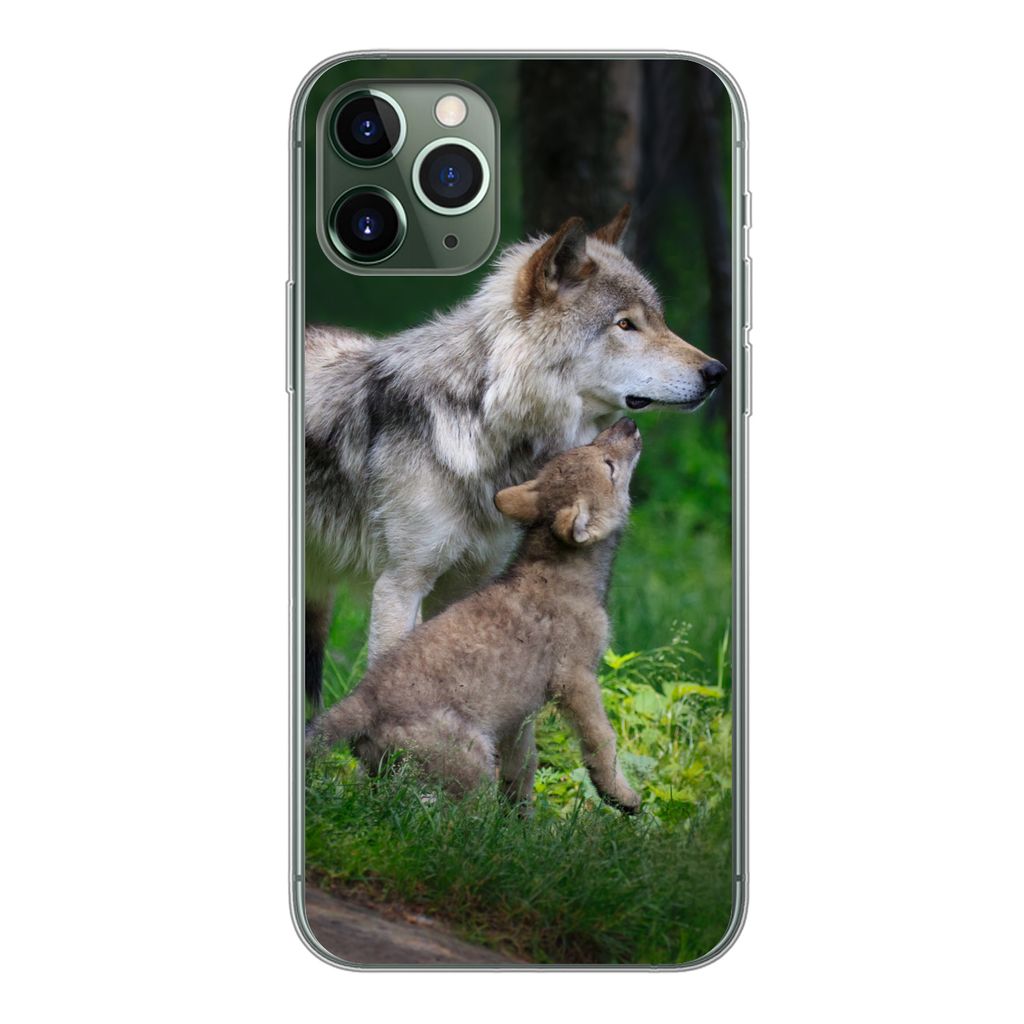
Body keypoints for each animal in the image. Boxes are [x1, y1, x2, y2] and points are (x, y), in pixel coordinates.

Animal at [305, 206, 725, 704]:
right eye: (625, 325)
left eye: (660, 320)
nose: (717, 372)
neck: (483, 420)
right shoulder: (400, 585)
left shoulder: (467, 583)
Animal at [306, 419, 645, 813]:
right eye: (608, 466)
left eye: (589, 447)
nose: (628, 424)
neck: (561, 570)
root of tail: (364, 698)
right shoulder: (575, 679)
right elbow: (601, 740)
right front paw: (621, 796)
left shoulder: (519, 713)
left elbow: (523, 766)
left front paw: (522, 820)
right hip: (473, 764)